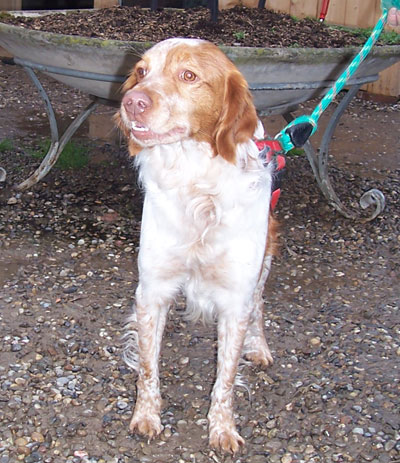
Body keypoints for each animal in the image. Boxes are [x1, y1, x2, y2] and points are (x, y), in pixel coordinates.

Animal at [116, 38, 277, 453]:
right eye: (141, 71)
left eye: (189, 76)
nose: (132, 102)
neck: (198, 188)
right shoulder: (152, 291)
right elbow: (148, 368)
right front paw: (146, 417)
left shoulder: (236, 300)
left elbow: (225, 380)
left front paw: (223, 429)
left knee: (260, 303)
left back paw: (259, 345)